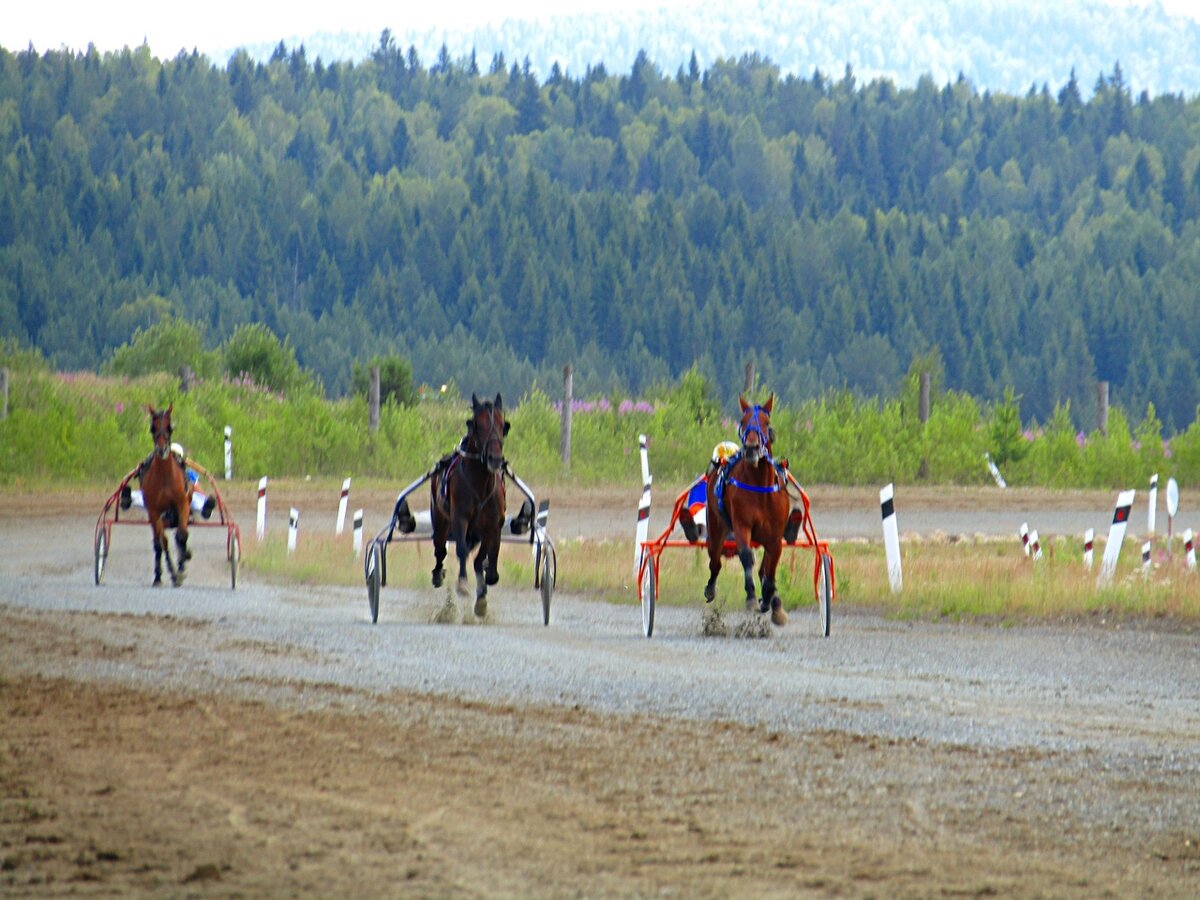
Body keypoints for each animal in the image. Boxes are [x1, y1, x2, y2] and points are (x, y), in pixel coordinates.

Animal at [140, 405, 192, 588]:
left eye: (170, 427)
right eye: (152, 428)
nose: (161, 449)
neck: (164, 477)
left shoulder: (182, 503)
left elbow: (182, 535)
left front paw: (182, 565)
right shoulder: (153, 510)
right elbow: (161, 543)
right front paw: (164, 575)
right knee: (161, 541)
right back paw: (163, 573)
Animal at [429, 393, 508, 619]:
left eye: (502, 425)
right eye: (477, 425)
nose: (495, 459)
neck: (480, 484)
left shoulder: (493, 524)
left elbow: (485, 557)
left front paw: (483, 593)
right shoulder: (460, 518)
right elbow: (462, 550)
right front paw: (463, 584)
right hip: (440, 519)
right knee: (440, 549)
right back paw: (437, 574)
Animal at [700, 393, 792, 628]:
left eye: (766, 423)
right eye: (742, 421)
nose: (751, 448)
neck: (760, 486)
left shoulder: (775, 536)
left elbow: (770, 570)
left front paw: (770, 601)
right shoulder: (742, 525)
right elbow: (745, 556)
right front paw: (752, 598)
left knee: (764, 568)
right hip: (717, 527)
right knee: (715, 561)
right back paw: (711, 588)